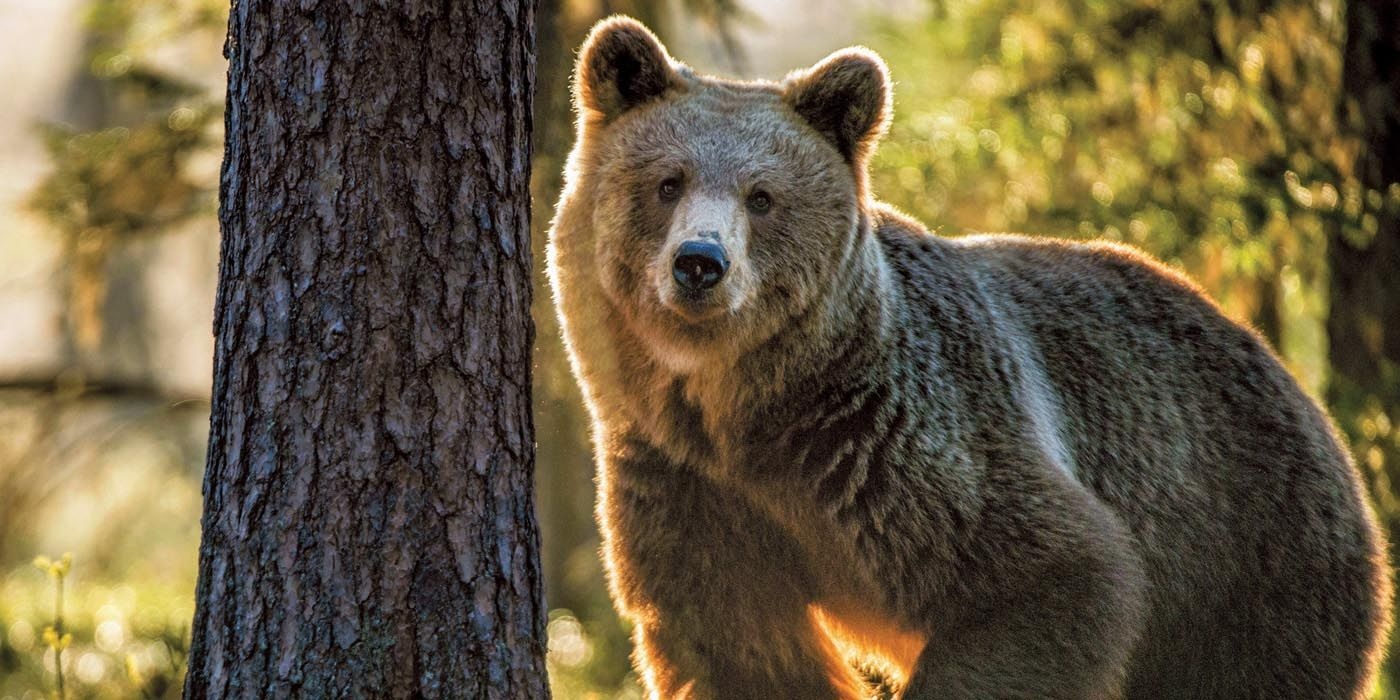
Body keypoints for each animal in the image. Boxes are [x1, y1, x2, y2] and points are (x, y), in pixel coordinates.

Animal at [546, 16, 1393, 700]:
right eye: (668, 181)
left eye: (762, 196)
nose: (700, 263)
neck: (748, 412)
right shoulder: (688, 484)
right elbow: (735, 643)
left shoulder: (902, 446)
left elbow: (1052, 575)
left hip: (1247, 559)